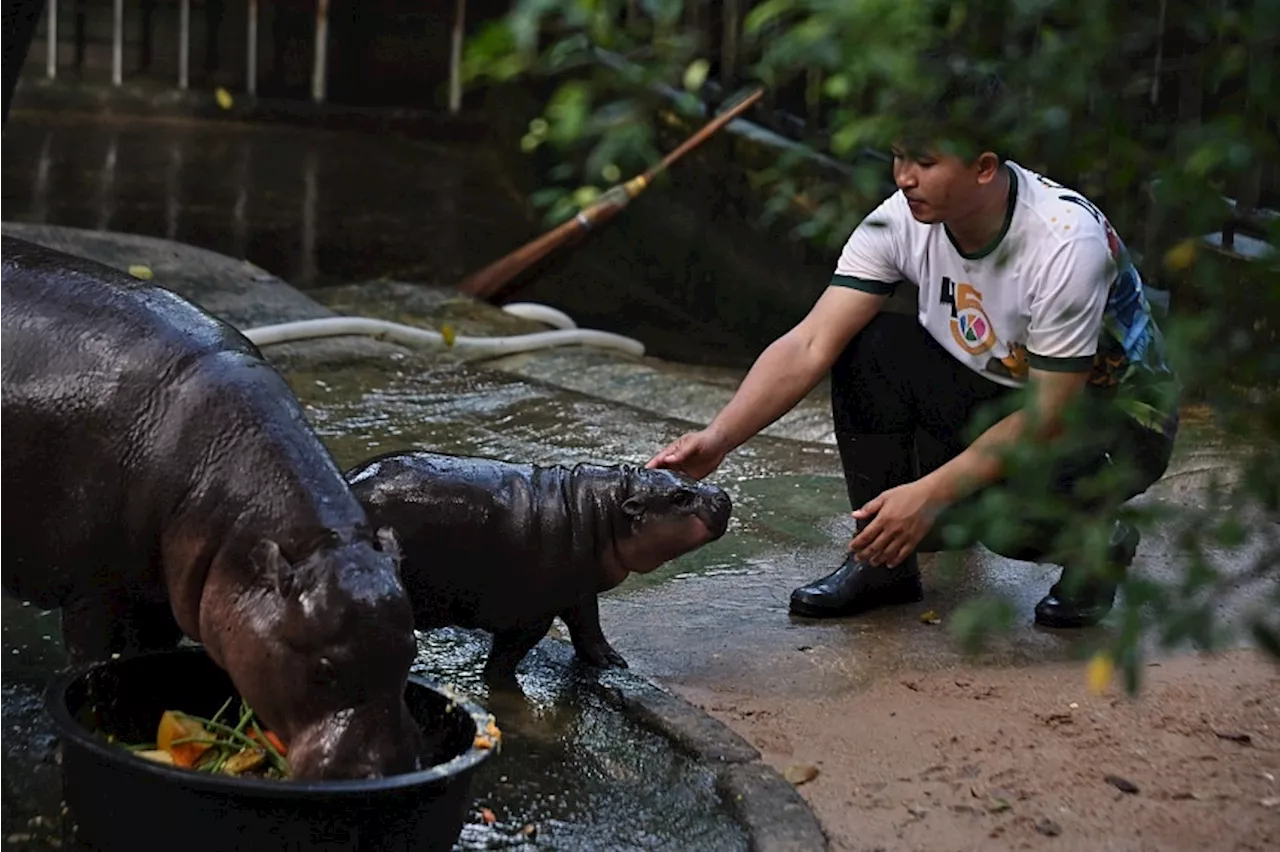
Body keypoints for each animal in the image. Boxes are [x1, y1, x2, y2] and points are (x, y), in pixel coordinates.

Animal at [0, 235, 424, 777]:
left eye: (411, 650)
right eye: (325, 667)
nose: (384, 770)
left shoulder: (154, 594)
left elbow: (143, 659)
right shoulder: (93, 592)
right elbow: (95, 666)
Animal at [345, 450, 737, 675]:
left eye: (689, 476)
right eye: (680, 497)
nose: (723, 496)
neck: (600, 510)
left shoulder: (579, 590)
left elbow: (588, 627)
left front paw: (612, 662)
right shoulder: (532, 615)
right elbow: (506, 657)